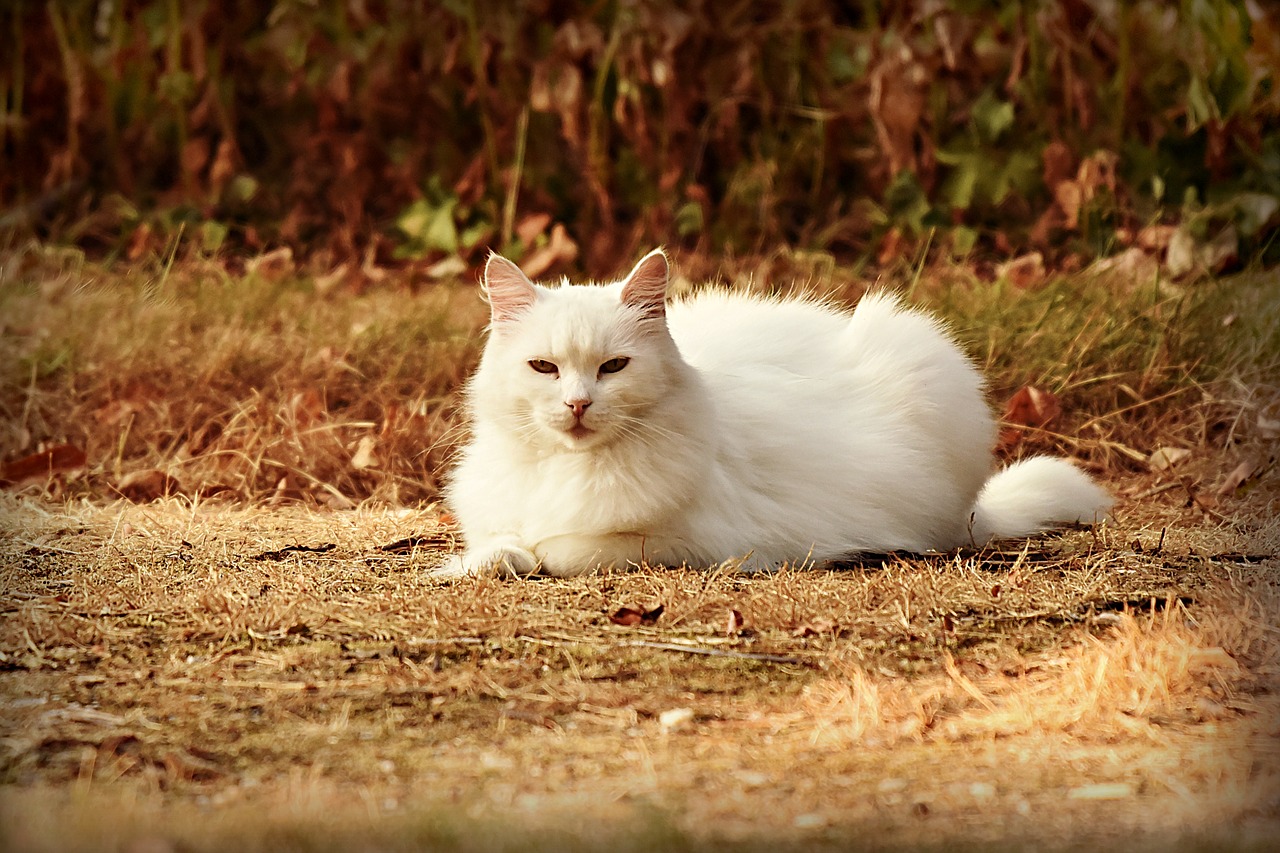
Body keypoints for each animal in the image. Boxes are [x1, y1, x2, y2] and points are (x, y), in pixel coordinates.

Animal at [440, 247, 1111, 578]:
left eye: (614, 368)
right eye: (544, 369)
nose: (578, 404)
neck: (566, 470)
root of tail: (974, 509)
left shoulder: (688, 541)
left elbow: (563, 548)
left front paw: (506, 559)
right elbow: (501, 541)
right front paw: (479, 563)